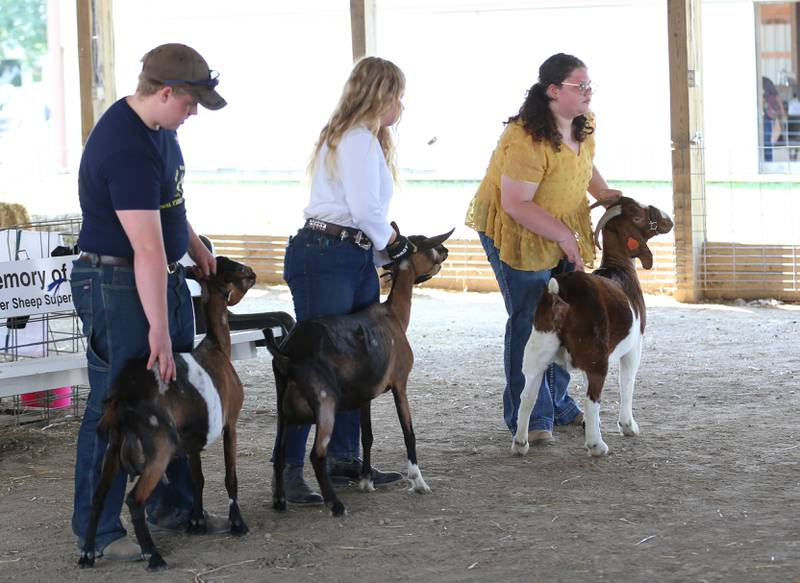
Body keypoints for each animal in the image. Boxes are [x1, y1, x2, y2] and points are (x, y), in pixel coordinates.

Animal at [78, 258, 256, 572]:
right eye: (235, 269)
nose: (253, 272)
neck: (218, 347)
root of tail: (123, 396)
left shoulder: (192, 437)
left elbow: (198, 478)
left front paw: (196, 522)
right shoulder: (230, 424)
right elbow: (230, 477)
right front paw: (238, 524)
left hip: (113, 447)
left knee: (98, 496)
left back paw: (87, 554)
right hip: (160, 448)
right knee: (134, 500)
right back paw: (154, 556)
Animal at [266, 227, 454, 516]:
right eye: (426, 245)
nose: (445, 250)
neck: (393, 315)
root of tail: (287, 352)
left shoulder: (366, 393)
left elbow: (367, 435)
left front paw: (366, 480)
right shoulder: (400, 383)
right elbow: (408, 433)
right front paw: (418, 481)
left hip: (283, 407)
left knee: (279, 451)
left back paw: (280, 501)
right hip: (325, 402)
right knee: (316, 455)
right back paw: (335, 504)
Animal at [510, 198, 672, 458]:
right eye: (638, 216)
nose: (668, 220)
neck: (620, 267)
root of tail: (560, 294)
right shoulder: (634, 346)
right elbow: (627, 383)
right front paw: (628, 426)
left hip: (538, 348)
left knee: (527, 396)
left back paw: (520, 443)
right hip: (597, 358)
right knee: (591, 400)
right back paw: (597, 445)